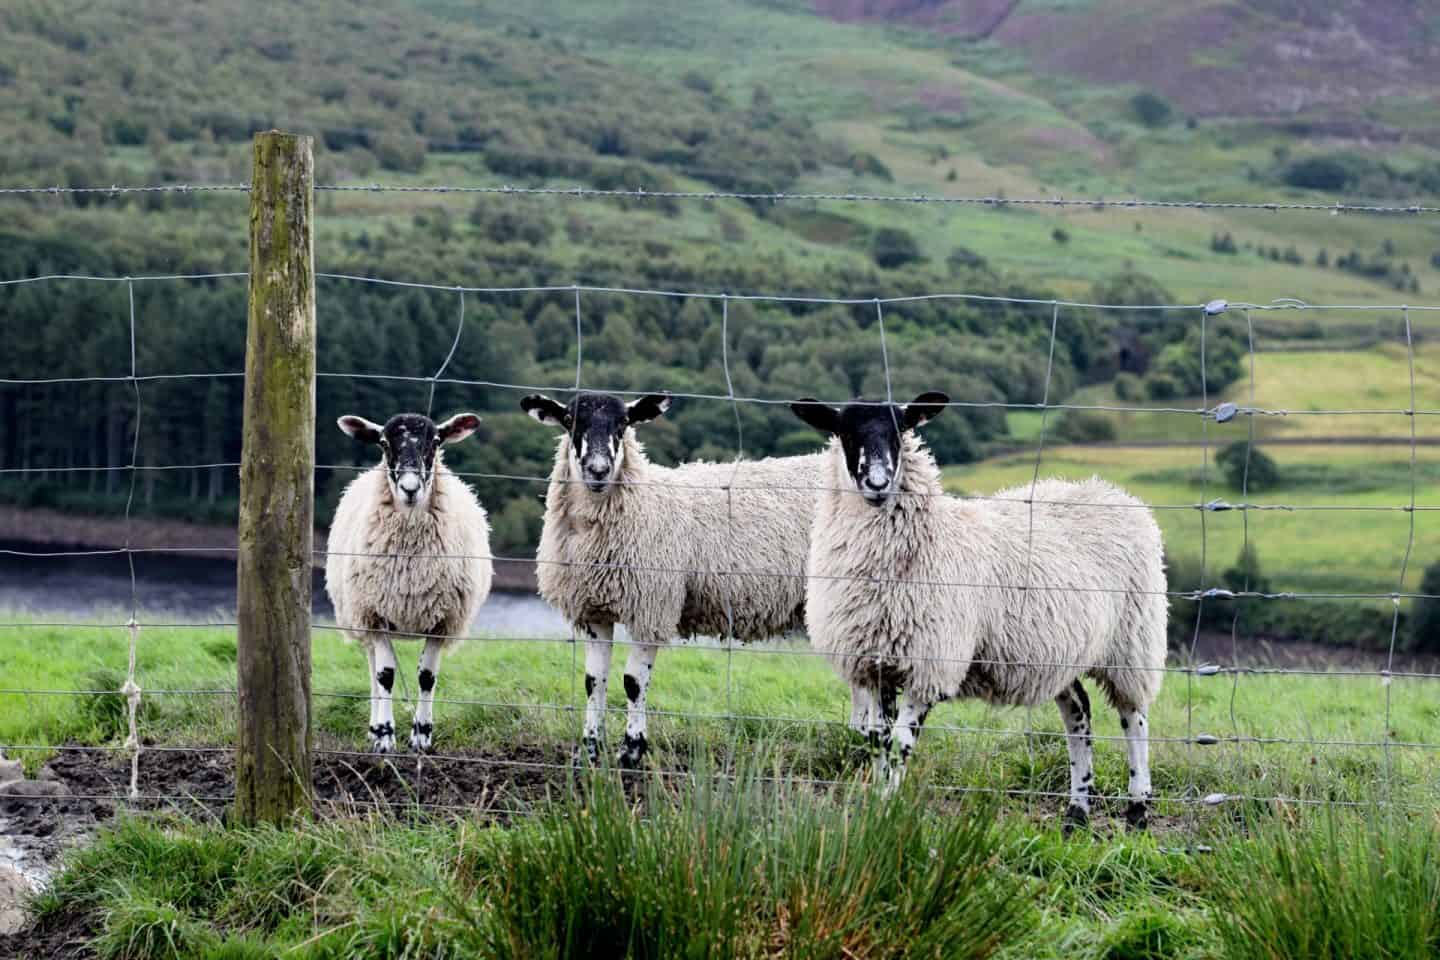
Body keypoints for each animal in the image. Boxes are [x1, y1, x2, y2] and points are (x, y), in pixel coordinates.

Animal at [325, 412, 492, 753]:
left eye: (436, 441)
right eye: (383, 443)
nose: (410, 488)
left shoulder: (442, 621)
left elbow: (427, 676)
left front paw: (422, 736)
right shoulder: (375, 615)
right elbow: (385, 675)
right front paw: (385, 736)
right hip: (360, 618)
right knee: (372, 669)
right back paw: (374, 727)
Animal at [520, 390, 860, 769]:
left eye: (624, 423)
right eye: (570, 421)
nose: (598, 470)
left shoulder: (652, 605)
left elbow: (633, 682)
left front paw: (631, 751)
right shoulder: (594, 609)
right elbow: (594, 681)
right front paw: (590, 751)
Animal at [791, 392, 1167, 831]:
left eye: (901, 430)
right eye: (845, 431)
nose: (879, 484)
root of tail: (1113, 493)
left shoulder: (932, 663)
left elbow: (900, 744)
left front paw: (887, 812)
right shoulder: (877, 664)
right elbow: (878, 740)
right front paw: (876, 806)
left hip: (1132, 639)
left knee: (1133, 716)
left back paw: (1138, 808)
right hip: (1061, 651)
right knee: (1079, 712)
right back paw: (1076, 812)